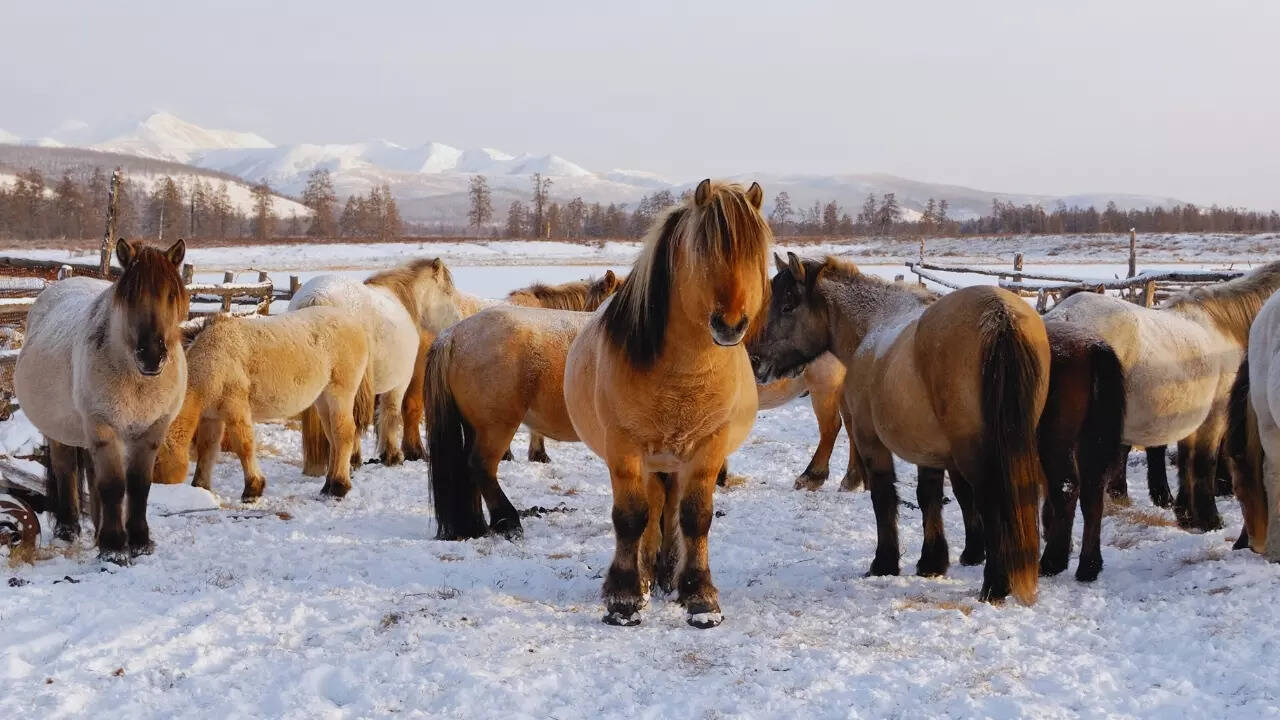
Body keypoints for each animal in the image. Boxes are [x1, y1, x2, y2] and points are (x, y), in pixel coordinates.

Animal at [14, 239, 189, 563]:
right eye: (130, 296)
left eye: (171, 295)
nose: (151, 356)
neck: (136, 379)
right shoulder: (103, 427)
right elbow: (113, 486)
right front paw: (114, 549)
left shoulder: (151, 432)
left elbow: (138, 486)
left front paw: (139, 542)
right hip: (64, 430)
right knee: (66, 469)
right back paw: (68, 529)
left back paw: (96, 528)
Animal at [153, 308, 371, 501]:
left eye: (156, 461)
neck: (211, 361)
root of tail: (356, 324)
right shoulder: (211, 417)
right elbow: (207, 449)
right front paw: (200, 486)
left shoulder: (235, 409)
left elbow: (244, 446)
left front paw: (252, 489)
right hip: (323, 401)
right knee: (333, 438)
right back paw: (328, 485)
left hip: (339, 396)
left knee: (343, 434)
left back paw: (339, 487)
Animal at [290, 258, 461, 469]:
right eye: (448, 292)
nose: (458, 321)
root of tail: (316, 299)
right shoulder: (399, 382)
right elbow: (390, 413)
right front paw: (392, 455)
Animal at [564, 179, 773, 628]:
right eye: (702, 250)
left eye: (754, 253)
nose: (730, 325)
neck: (682, 378)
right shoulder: (625, 450)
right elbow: (631, 518)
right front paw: (625, 597)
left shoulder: (708, 449)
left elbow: (696, 517)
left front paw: (699, 595)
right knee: (650, 510)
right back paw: (647, 574)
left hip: (676, 463)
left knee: (671, 508)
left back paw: (667, 572)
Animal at [1045, 262, 1280, 531]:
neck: (1225, 328)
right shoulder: (1214, 416)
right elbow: (1204, 463)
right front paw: (1210, 519)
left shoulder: (1191, 418)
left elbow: (1186, 463)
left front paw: (1186, 514)